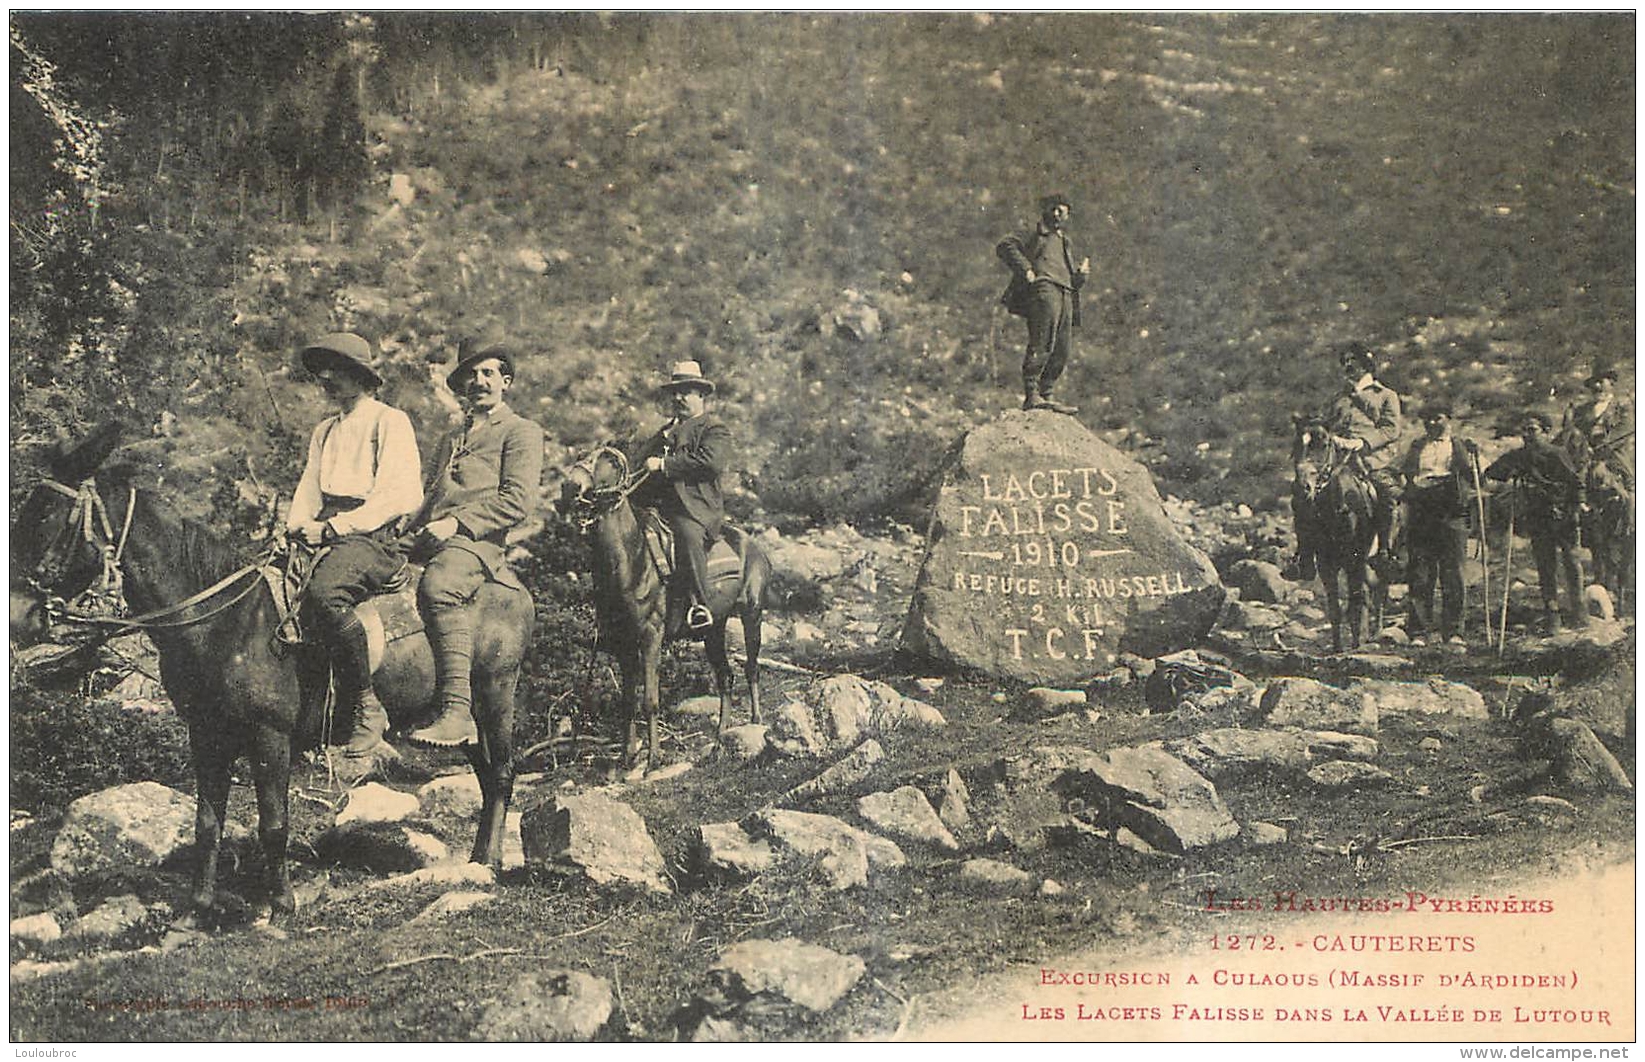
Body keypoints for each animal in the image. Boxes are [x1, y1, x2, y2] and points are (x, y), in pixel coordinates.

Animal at [9, 427, 529, 920]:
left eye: (49, 517)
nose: (19, 616)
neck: (225, 620)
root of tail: (511, 584)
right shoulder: (206, 735)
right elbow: (207, 825)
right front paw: (197, 908)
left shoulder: (270, 736)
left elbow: (274, 824)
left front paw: (281, 903)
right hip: (462, 713)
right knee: (486, 775)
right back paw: (480, 859)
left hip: (497, 690)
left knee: (502, 774)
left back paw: (489, 863)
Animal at [559, 443, 769, 772]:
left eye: (607, 461)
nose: (570, 486)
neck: (631, 559)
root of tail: (752, 544)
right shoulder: (624, 644)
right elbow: (628, 702)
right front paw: (627, 757)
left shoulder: (651, 636)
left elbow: (650, 700)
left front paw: (652, 760)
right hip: (714, 629)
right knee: (725, 677)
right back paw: (720, 738)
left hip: (752, 615)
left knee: (751, 668)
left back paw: (756, 721)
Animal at [1296, 417, 1388, 654]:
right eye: (1297, 444)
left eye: (1325, 444)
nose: (1304, 487)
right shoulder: (1326, 565)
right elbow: (1335, 607)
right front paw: (1338, 646)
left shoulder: (1354, 561)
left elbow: (1355, 600)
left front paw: (1356, 642)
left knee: (1378, 590)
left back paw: (1375, 632)